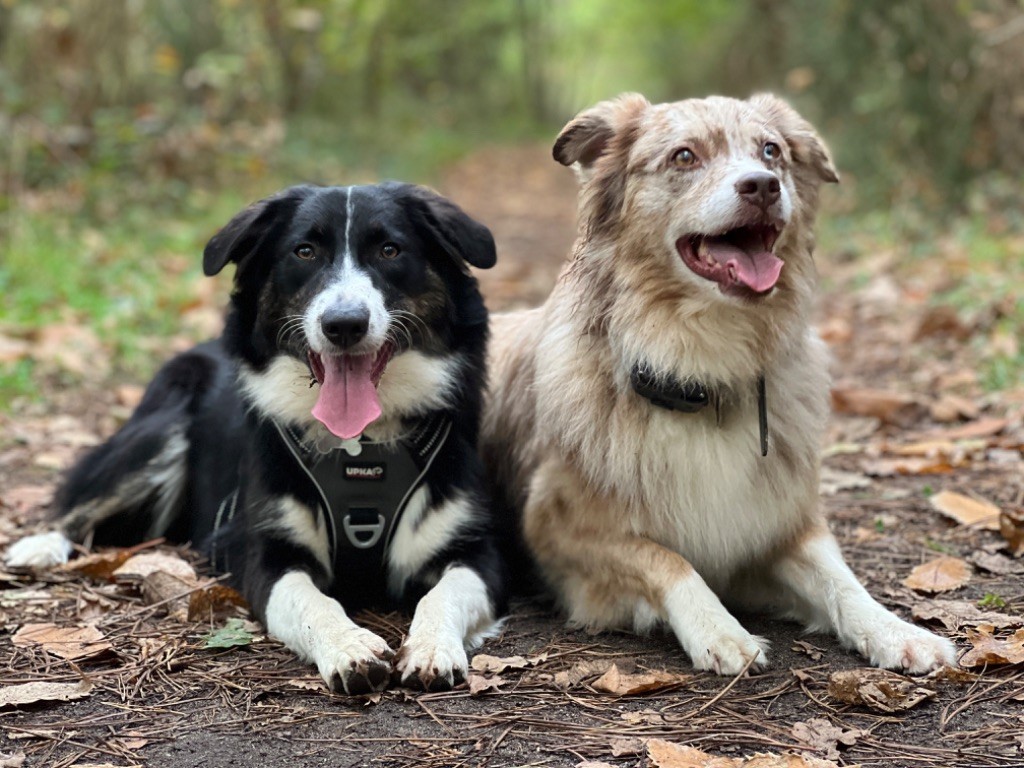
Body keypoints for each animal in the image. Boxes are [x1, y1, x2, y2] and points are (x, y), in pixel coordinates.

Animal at [3, 185, 507, 696]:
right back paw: (39, 547)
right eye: (304, 251)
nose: (344, 324)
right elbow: (311, 602)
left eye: (390, 250)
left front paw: (430, 648)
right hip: (160, 431)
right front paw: (350, 647)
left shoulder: (475, 550)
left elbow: (444, 594)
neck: (359, 446)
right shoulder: (263, 552)